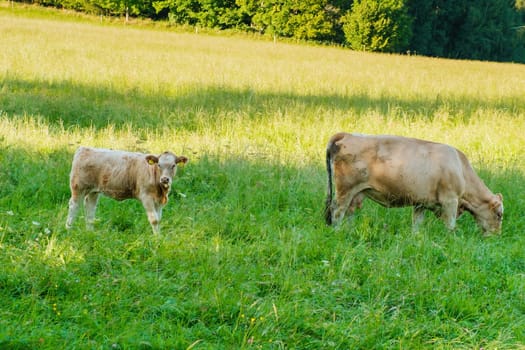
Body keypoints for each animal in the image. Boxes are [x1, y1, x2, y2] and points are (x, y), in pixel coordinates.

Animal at [324, 132, 504, 235]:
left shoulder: (421, 203)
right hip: (345, 190)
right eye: (499, 214)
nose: (496, 236)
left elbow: (416, 224)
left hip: (356, 193)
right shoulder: (450, 200)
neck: (460, 168)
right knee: (337, 212)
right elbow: (450, 226)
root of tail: (348, 134)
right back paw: (337, 232)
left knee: (349, 213)